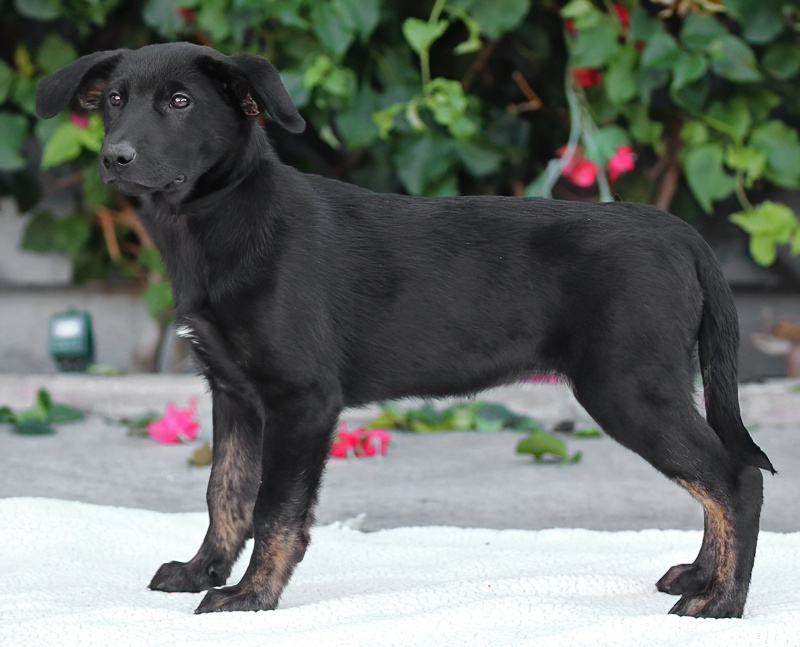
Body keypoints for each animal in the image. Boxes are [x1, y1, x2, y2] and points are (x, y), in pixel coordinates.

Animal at [36, 42, 774, 618]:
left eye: (181, 102)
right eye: (114, 101)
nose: (115, 157)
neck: (221, 221)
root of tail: (682, 233)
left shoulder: (302, 399)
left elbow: (276, 508)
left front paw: (252, 595)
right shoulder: (234, 393)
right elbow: (226, 493)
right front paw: (201, 571)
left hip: (627, 386)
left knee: (734, 476)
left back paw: (722, 601)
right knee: (714, 476)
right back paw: (702, 575)